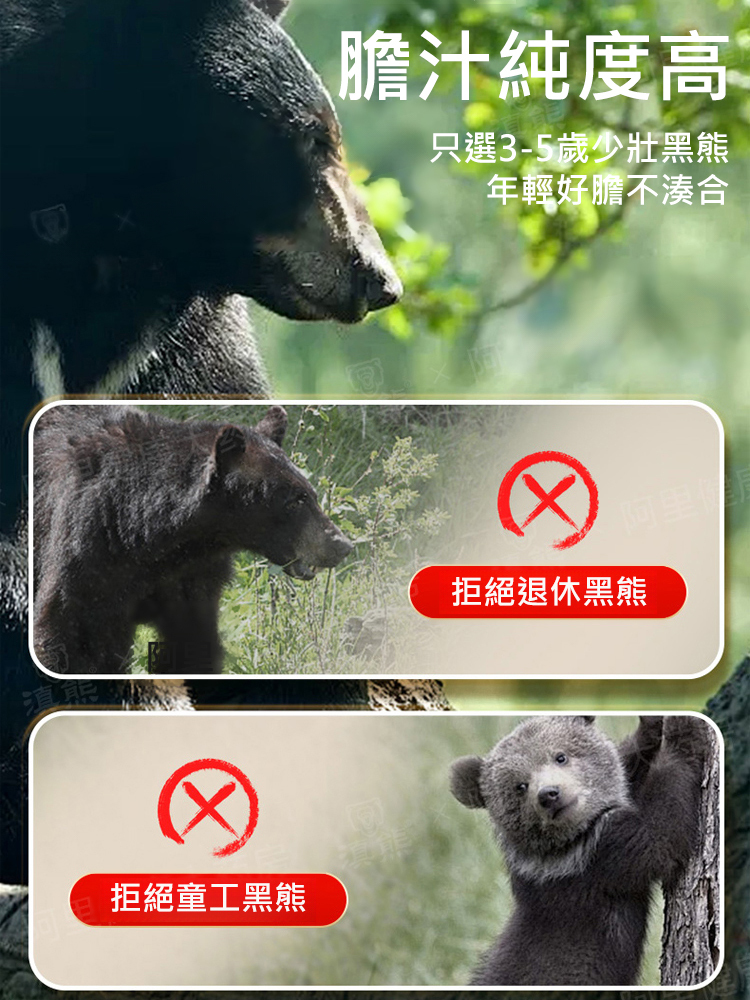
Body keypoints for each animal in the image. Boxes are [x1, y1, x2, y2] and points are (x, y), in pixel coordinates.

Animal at [32, 403, 353, 674]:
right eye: (295, 501)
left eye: (311, 493)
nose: (342, 545)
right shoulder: (89, 551)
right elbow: (72, 637)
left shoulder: (193, 575)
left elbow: (192, 641)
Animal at [450, 715, 706, 986]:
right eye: (519, 786)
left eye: (560, 756)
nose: (549, 794)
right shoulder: (601, 858)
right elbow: (663, 831)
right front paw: (684, 731)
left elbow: (628, 769)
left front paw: (651, 727)